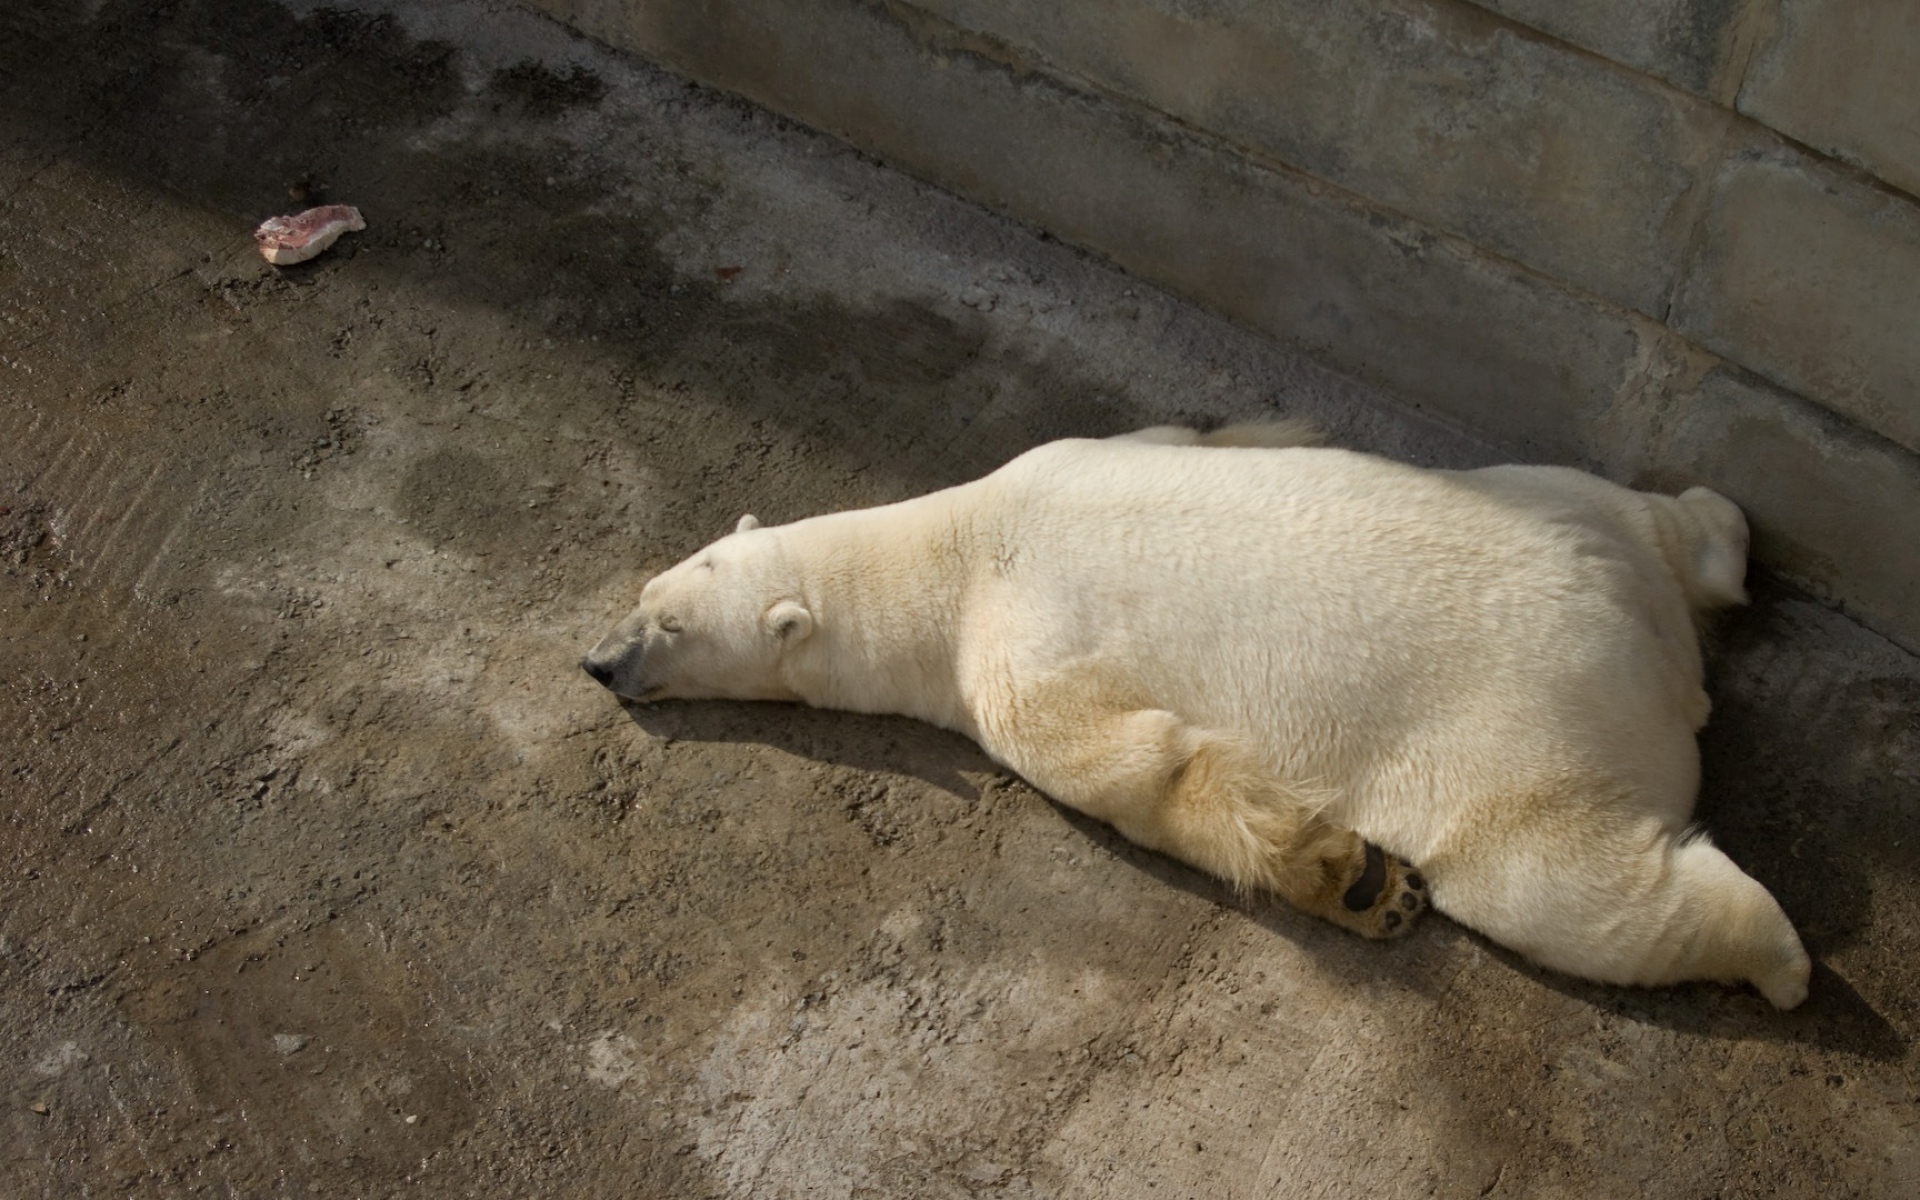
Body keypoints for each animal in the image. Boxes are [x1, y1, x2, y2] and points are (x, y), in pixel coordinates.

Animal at [583, 423, 1812, 1009]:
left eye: (671, 627)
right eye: (646, 591)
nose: (599, 662)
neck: (955, 546)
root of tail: (1645, 639)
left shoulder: (1012, 653)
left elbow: (1134, 762)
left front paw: (1349, 874)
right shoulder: (1085, 452)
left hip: (1519, 734)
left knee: (1562, 885)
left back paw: (1780, 959)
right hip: (1563, 500)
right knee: (1668, 514)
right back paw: (1722, 533)